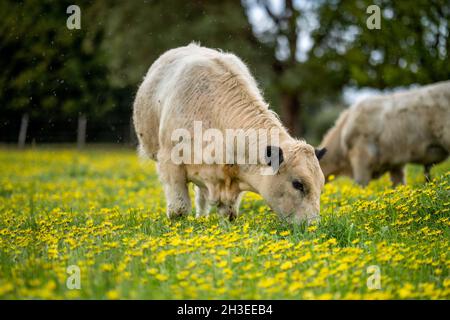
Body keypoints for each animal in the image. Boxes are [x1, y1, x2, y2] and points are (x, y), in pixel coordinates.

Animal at [132, 43, 326, 224]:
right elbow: (179, 209)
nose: (313, 225)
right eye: (298, 184)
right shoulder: (169, 163)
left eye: (321, 185)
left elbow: (228, 213)